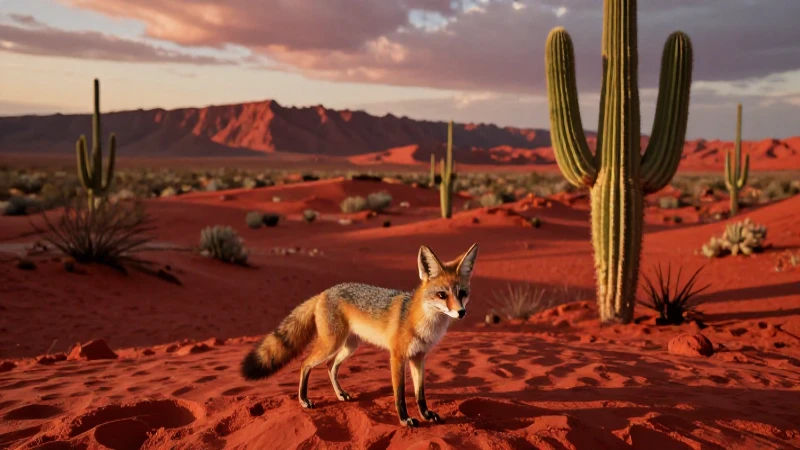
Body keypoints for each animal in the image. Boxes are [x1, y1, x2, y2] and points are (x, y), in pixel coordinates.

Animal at [240, 243, 479, 427]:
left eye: (462, 293)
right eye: (442, 295)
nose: (461, 312)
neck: (424, 323)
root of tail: (325, 292)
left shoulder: (419, 357)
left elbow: (420, 394)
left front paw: (426, 415)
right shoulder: (397, 357)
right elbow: (400, 395)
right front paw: (405, 420)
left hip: (349, 346)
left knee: (330, 366)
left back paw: (340, 394)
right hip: (331, 344)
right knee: (305, 364)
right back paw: (304, 400)